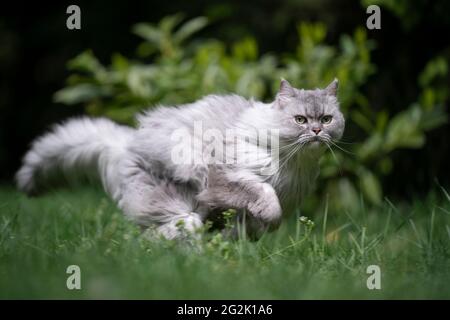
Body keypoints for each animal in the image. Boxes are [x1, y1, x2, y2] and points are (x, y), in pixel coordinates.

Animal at [14, 79, 344, 240]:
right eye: (300, 119)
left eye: (327, 119)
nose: (316, 131)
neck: (292, 163)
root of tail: (126, 144)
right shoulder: (223, 178)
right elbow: (264, 195)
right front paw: (270, 215)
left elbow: (253, 226)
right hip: (181, 208)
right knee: (162, 236)